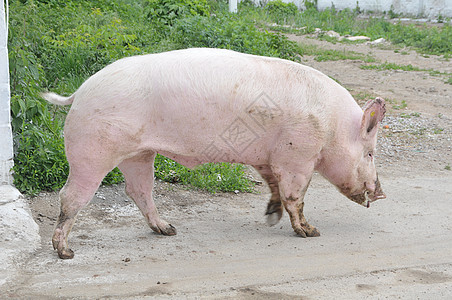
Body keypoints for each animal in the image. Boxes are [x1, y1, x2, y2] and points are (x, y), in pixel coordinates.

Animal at [41, 48, 384, 258]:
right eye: (369, 153)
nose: (381, 192)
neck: (332, 128)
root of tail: (80, 91)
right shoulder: (297, 156)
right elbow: (294, 196)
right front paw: (312, 233)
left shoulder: (267, 158)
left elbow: (274, 187)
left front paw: (271, 218)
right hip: (92, 150)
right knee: (71, 196)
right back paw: (65, 252)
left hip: (139, 154)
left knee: (138, 190)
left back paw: (168, 230)